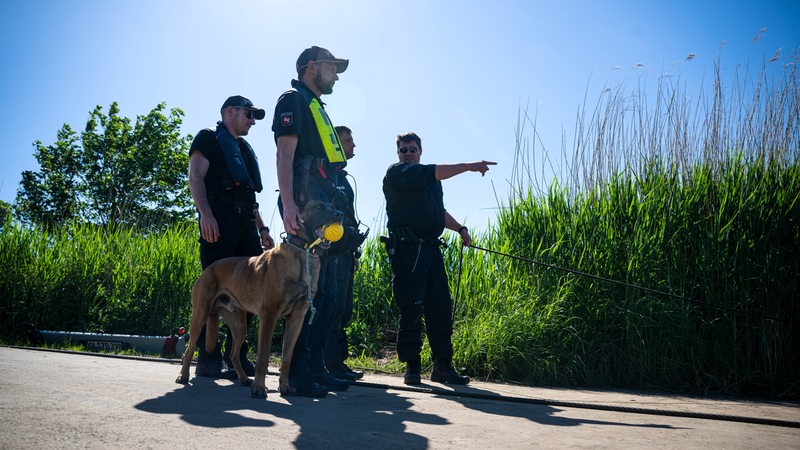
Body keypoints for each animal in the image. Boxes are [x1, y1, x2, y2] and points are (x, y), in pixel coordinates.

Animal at [177, 200, 342, 398]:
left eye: (332, 205)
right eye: (319, 206)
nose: (340, 214)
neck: (303, 254)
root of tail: (208, 269)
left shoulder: (296, 320)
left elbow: (287, 358)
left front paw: (284, 386)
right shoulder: (269, 316)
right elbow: (263, 357)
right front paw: (259, 388)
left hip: (239, 326)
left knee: (233, 354)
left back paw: (243, 379)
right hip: (200, 316)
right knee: (189, 349)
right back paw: (183, 375)